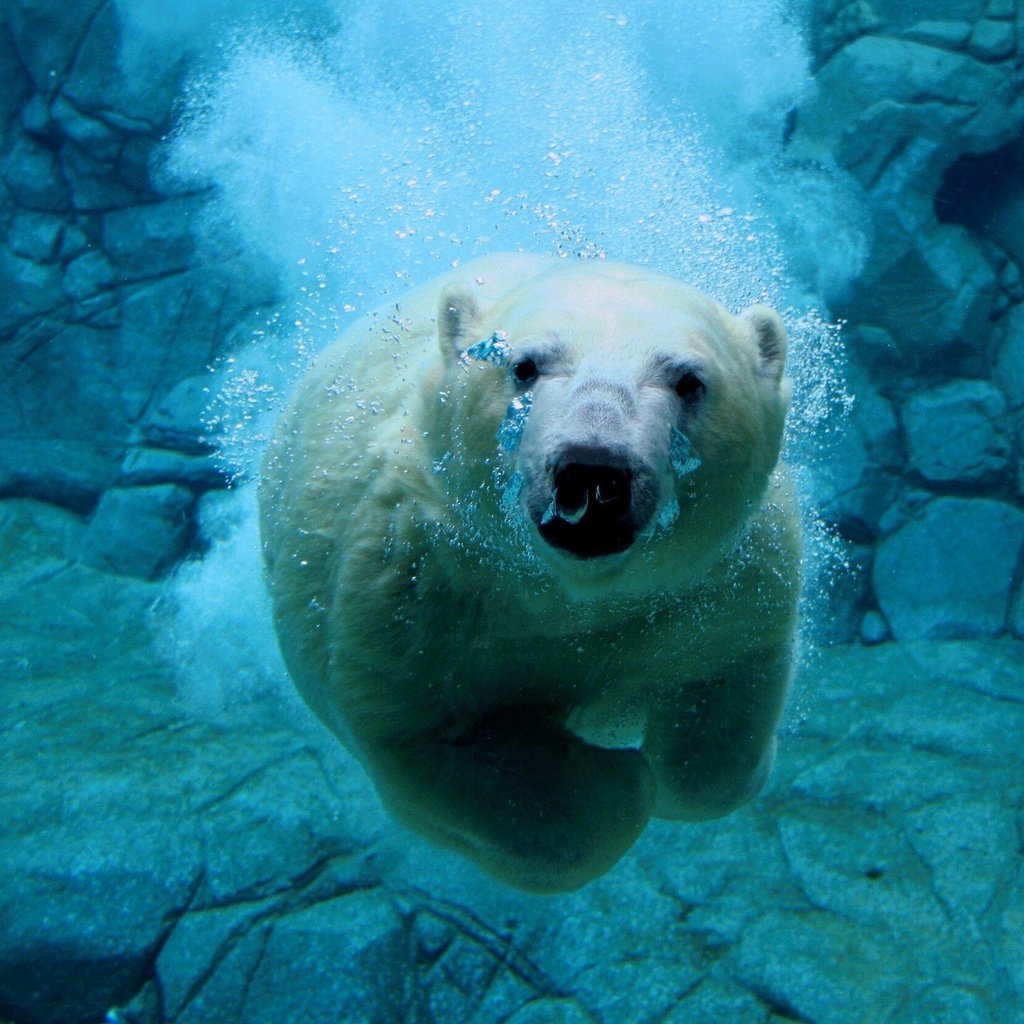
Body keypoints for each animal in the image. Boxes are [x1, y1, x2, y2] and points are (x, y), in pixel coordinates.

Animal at [258, 258, 798, 897]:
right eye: (524, 366)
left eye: (689, 380)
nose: (593, 470)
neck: (567, 592)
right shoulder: (411, 589)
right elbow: (432, 740)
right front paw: (616, 778)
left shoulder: (719, 581)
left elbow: (724, 700)